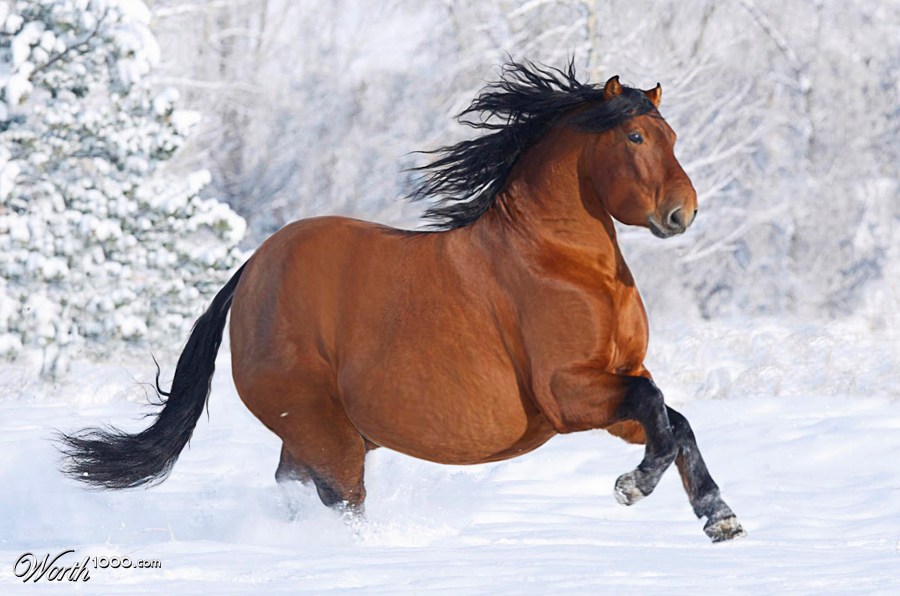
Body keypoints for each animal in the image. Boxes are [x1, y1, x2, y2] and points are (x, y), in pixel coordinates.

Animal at [60, 61, 745, 543]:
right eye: (635, 136)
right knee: (342, 503)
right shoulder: (569, 393)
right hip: (327, 435)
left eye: (672, 134)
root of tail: (252, 270)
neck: (562, 263)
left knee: (294, 489)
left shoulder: (613, 387)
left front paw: (719, 515)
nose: (683, 212)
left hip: (319, 435)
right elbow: (656, 408)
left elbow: (673, 421)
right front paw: (634, 486)